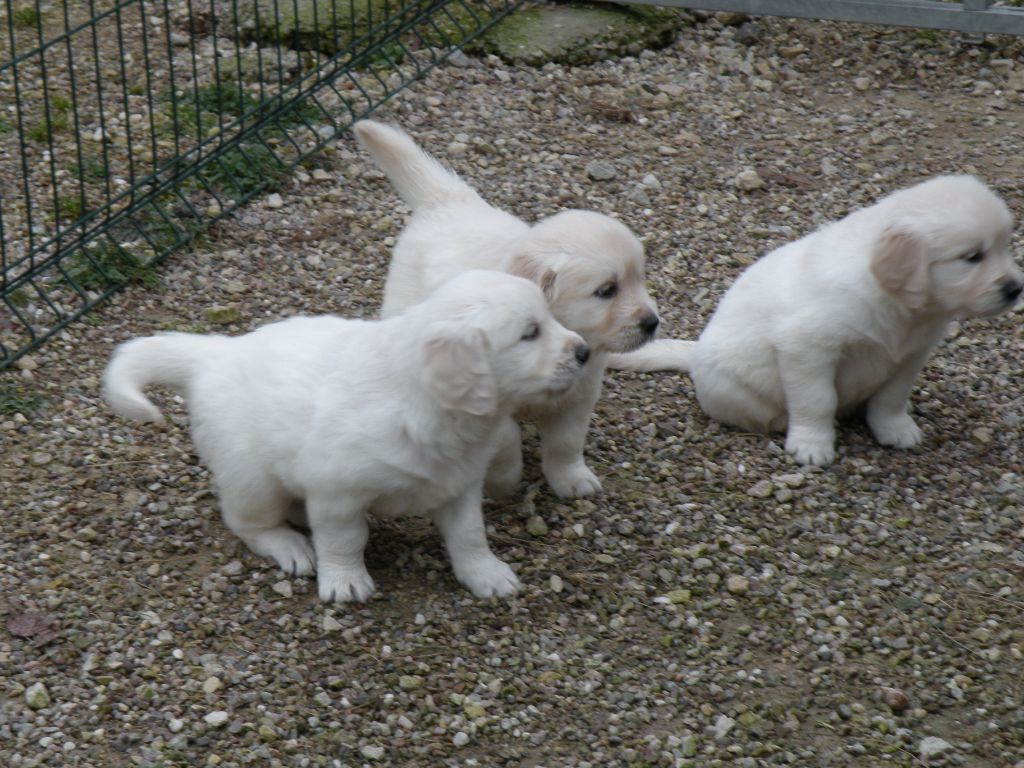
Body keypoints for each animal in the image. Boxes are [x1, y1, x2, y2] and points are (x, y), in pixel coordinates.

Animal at [101, 270, 593, 602]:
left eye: (549, 319)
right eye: (529, 334)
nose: (585, 351)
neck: (422, 406)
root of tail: (214, 354)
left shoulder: (458, 484)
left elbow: (470, 534)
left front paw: (485, 574)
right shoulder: (337, 493)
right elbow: (345, 539)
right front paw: (344, 580)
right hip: (251, 477)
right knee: (247, 522)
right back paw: (289, 544)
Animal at [350, 120, 655, 499]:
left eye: (640, 279)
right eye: (607, 291)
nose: (653, 323)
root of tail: (447, 200)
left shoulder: (579, 393)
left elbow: (566, 442)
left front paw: (571, 478)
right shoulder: (489, 405)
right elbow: (506, 441)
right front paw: (504, 483)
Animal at [610, 177, 1019, 466]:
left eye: (1004, 246)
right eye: (972, 257)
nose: (1016, 289)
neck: (900, 307)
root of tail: (694, 356)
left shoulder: (912, 354)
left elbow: (891, 397)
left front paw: (895, 429)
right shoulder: (807, 349)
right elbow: (817, 399)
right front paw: (811, 444)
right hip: (731, 389)